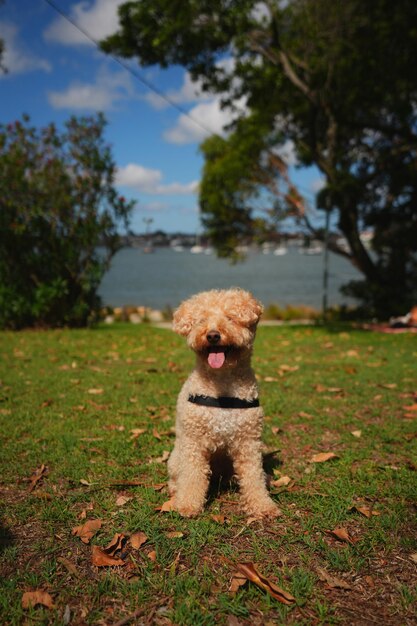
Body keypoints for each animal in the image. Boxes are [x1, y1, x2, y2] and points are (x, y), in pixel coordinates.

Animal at [167, 288, 282, 516]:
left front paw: (262, 505)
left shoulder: (248, 442)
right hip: (176, 457)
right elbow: (192, 476)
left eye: (230, 318)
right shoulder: (194, 442)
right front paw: (187, 504)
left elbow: (253, 477)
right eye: (201, 320)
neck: (222, 387)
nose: (212, 335)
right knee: (178, 476)